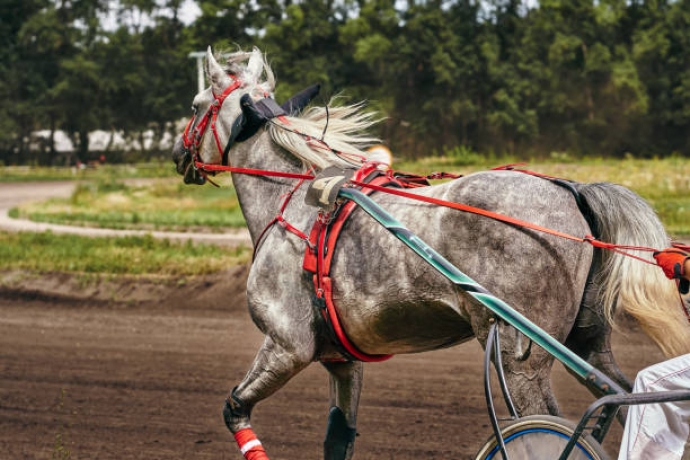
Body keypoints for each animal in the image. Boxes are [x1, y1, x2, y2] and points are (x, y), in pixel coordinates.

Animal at [172, 48, 688, 458]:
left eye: (195, 106)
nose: (178, 154)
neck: (296, 199)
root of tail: (572, 191)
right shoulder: (342, 360)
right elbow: (339, 437)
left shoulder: (286, 347)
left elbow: (235, 408)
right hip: (586, 339)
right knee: (620, 392)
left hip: (520, 354)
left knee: (548, 421)